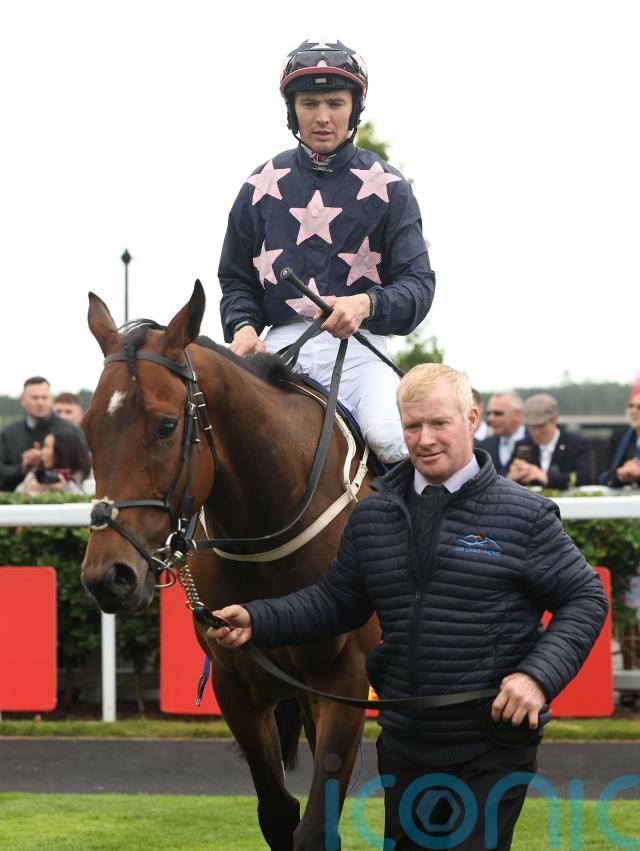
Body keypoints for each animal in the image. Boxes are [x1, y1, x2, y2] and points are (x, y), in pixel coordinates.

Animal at [81, 280, 381, 851]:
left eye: (166, 426)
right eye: (88, 428)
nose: (109, 575)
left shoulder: (344, 681)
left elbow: (317, 823)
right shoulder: (236, 683)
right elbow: (279, 814)